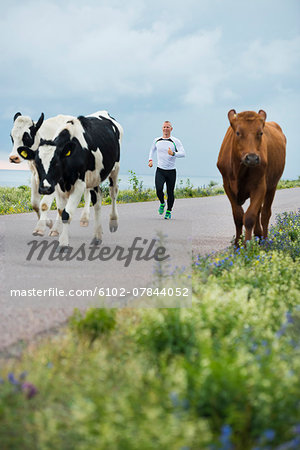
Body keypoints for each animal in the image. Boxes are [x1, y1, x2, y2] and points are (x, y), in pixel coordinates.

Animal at [17, 110, 122, 248]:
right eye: (37, 163)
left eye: (56, 163)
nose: (45, 189)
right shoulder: (58, 186)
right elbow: (62, 211)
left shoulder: (79, 185)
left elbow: (67, 214)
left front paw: (63, 244)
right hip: (95, 177)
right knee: (97, 201)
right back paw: (97, 236)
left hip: (115, 168)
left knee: (113, 192)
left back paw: (113, 222)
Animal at [217, 109, 284, 246]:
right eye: (238, 132)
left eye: (260, 133)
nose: (252, 158)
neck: (239, 170)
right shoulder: (227, 185)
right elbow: (238, 216)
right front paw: (237, 245)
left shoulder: (260, 186)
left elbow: (249, 217)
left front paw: (247, 245)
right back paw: (258, 235)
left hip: (272, 186)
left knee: (265, 214)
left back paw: (264, 240)